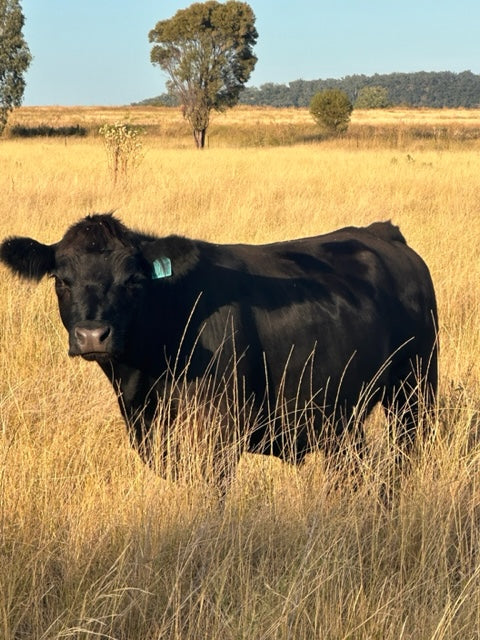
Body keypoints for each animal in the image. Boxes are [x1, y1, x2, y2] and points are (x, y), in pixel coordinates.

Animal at [0, 218, 438, 478]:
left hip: (415, 391)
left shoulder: (219, 432)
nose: (93, 335)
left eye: (133, 279)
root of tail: (381, 231)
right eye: (61, 280)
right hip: (339, 415)